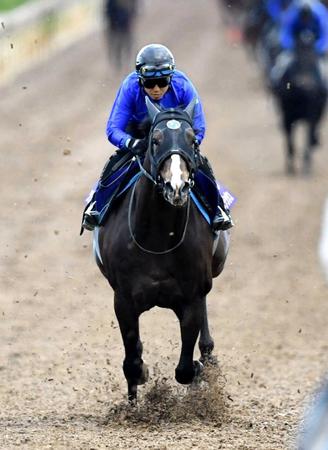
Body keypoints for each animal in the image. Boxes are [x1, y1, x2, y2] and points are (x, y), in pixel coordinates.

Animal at [93, 97, 231, 400]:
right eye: (155, 140)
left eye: (193, 140)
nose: (176, 186)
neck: (156, 239)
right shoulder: (123, 299)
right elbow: (132, 361)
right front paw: (137, 386)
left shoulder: (191, 297)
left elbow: (185, 369)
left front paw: (199, 369)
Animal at [270, 31, 326, 174]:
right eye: (297, 59)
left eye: (313, 59)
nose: (307, 85)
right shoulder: (287, 115)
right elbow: (290, 141)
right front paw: (290, 168)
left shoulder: (312, 115)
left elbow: (308, 137)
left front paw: (306, 168)